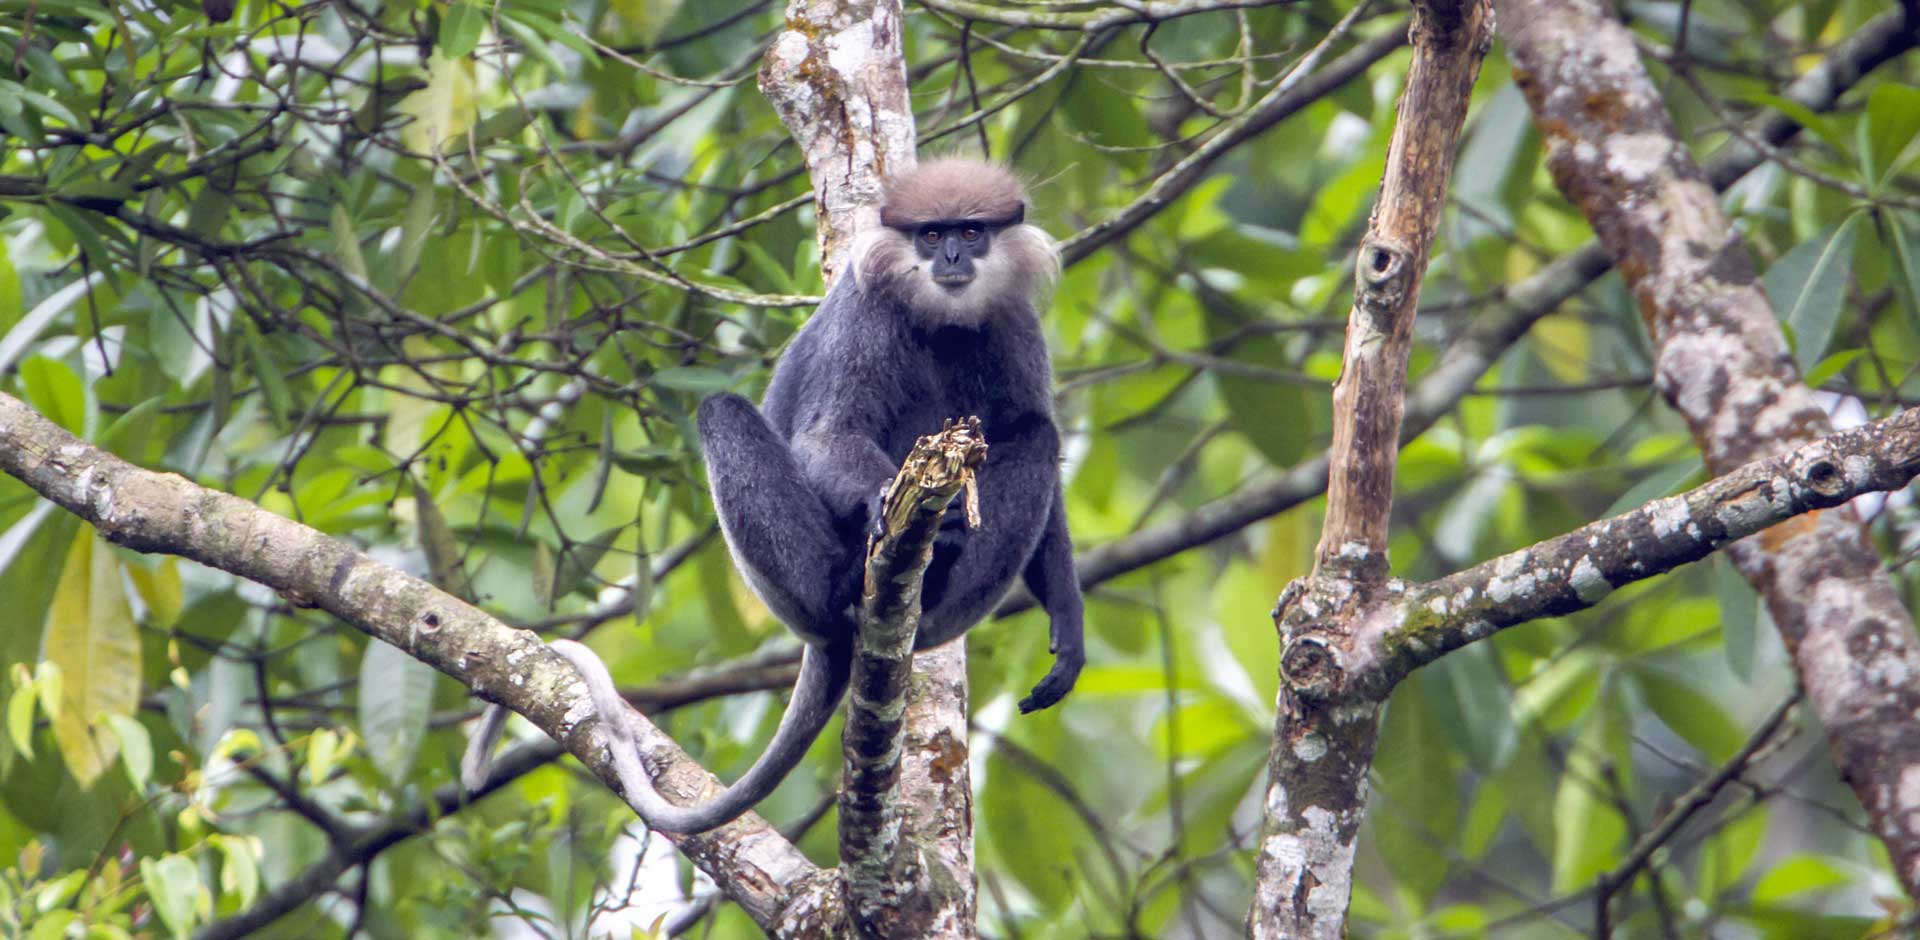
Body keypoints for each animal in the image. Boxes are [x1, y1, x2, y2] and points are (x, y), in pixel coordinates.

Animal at [464, 158, 1090, 832]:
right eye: (930, 234)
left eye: (971, 232)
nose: (950, 256)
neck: (942, 320)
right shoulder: (866, 314)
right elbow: (826, 435)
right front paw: (881, 501)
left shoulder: (1016, 323)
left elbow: (1030, 434)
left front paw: (1067, 621)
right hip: (797, 591)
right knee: (722, 411)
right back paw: (846, 583)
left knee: (1035, 433)